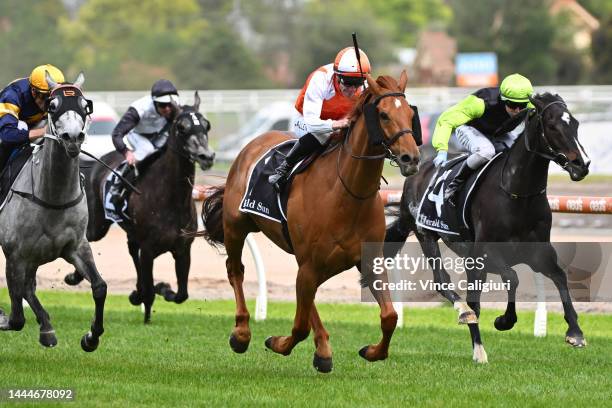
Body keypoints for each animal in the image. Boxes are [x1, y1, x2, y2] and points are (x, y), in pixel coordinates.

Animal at [0, 71, 107, 350]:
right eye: (53, 105)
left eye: (84, 105)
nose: (73, 137)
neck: (51, 197)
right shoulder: (15, 254)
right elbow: (16, 318)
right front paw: (2, 317)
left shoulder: (76, 246)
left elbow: (100, 287)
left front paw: (91, 337)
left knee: (29, 287)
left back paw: (47, 328)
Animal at [65, 94, 215, 324]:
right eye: (181, 127)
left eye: (206, 125)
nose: (206, 156)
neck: (171, 199)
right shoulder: (149, 248)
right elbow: (150, 291)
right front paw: (146, 309)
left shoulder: (182, 249)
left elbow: (181, 294)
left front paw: (161, 289)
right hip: (97, 226)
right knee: (86, 239)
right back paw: (74, 276)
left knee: (131, 250)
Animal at [200, 71, 420, 372]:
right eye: (384, 115)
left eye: (410, 113)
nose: (412, 158)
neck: (348, 194)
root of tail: (251, 146)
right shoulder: (310, 264)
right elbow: (300, 326)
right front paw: (277, 343)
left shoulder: (368, 261)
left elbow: (390, 317)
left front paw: (372, 351)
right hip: (236, 227)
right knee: (236, 270)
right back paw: (242, 333)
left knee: (307, 297)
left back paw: (323, 350)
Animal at [384, 93, 592, 364]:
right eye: (553, 126)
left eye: (575, 123)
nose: (582, 164)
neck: (517, 195)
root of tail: (416, 174)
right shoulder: (486, 254)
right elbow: (512, 277)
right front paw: (504, 320)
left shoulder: (539, 254)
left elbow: (560, 277)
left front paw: (575, 332)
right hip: (426, 234)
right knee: (445, 283)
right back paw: (468, 325)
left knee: (474, 300)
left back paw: (477, 346)